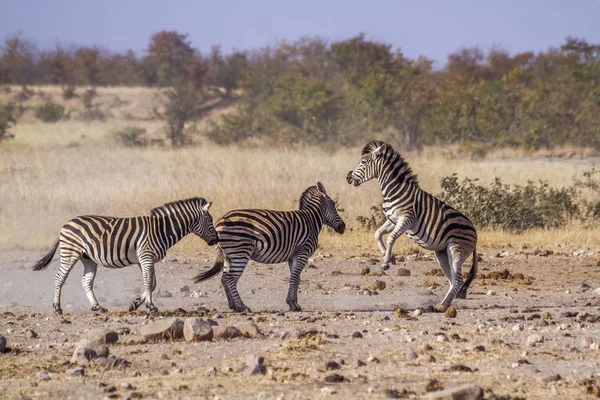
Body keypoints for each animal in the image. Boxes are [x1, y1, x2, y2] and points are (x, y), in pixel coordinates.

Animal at [30, 197, 218, 316]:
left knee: (86, 281)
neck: (162, 229)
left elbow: (152, 283)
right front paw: (151, 306)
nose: (216, 240)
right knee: (59, 278)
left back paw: (97, 307)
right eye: (210, 221)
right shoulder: (146, 256)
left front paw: (135, 303)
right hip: (70, 253)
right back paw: (57, 308)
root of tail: (66, 223)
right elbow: (149, 282)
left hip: (88, 258)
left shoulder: (145, 259)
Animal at [192, 182, 342, 312]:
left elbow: (296, 279)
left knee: (224, 279)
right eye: (333, 204)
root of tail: (220, 221)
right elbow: (294, 278)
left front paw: (293, 303)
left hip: (229, 255)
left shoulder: (293, 256)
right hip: (240, 252)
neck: (311, 220)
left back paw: (233, 306)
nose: (343, 227)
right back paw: (242, 307)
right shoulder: (302, 252)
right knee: (230, 279)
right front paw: (293, 305)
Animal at [346, 141, 478, 312]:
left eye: (362, 162)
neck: (394, 190)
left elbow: (390, 238)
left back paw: (443, 306)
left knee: (459, 280)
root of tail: (475, 232)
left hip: (456, 250)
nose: (348, 177)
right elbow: (378, 233)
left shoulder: (407, 219)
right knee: (453, 281)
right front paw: (388, 256)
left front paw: (386, 262)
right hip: (442, 254)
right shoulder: (392, 219)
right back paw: (443, 304)